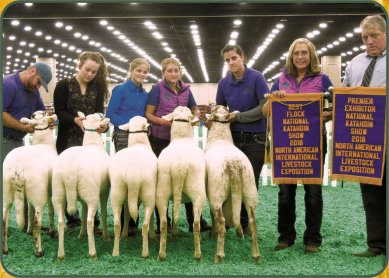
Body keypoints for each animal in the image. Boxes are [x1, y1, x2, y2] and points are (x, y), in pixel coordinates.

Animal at [2, 110, 57, 256]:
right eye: (44, 113)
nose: (33, 115)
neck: (44, 143)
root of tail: (17, 169)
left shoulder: (30, 194)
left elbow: (29, 211)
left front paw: (28, 230)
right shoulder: (49, 191)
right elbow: (51, 211)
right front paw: (52, 232)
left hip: (6, 193)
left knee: (4, 221)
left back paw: (5, 250)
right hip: (39, 193)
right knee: (38, 221)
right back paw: (39, 251)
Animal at [51, 112, 110, 260]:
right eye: (98, 118)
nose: (102, 113)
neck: (93, 144)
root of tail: (70, 173)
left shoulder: (83, 199)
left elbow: (82, 213)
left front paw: (81, 235)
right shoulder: (105, 191)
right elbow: (104, 213)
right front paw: (106, 237)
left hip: (59, 193)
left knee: (60, 222)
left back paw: (61, 255)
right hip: (91, 194)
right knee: (90, 221)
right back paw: (93, 253)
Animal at [108, 115, 157, 258]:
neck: (138, 143)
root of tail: (133, 170)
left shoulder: (126, 198)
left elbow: (127, 214)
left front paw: (124, 235)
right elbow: (151, 218)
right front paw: (153, 236)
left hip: (117, 192)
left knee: (117, 224)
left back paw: (115, 251)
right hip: (148, 193)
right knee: (145, 223)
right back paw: (145, 252)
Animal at [155, 105, 206, 262]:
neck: (181, 138)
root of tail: (179, 166)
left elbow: (173, 211)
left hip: (162, 192)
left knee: (164, 222)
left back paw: (162, 254)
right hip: (198, 192)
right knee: (196, 223)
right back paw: (198, 255)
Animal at [203, 104, 260, 262]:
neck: (221, 137)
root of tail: (234, 168)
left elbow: (213, 215)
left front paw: (212, 234)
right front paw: (239, 232)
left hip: (217, 194)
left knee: (221, 220)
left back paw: (219, 255)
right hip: (250, 191)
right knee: (252, 222)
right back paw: (256, 255)